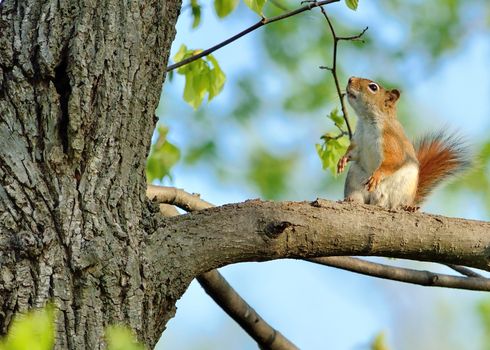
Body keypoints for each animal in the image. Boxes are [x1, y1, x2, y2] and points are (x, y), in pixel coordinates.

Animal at [336, 77, 468, 208]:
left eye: (373, 87)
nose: (350, 79)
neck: (367, 121)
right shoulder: (358, 139)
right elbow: (353, 151)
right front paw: (342, 160)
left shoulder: (391, 139)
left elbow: (394, 158)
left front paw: (377, 175)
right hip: (355, 180)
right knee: (358, 195)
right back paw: (351, 199)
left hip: (402, 189)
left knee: (395, 204)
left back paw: (407, 208)